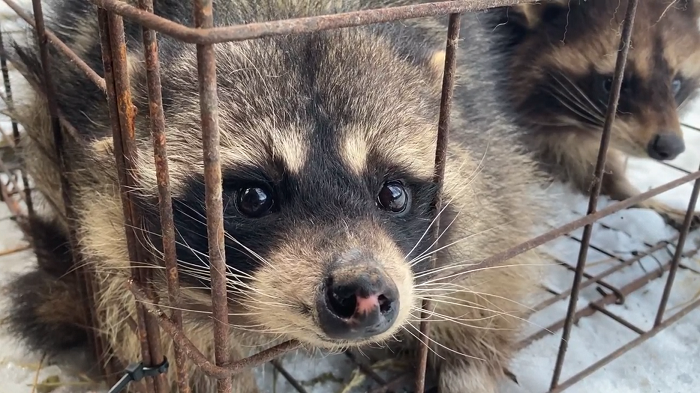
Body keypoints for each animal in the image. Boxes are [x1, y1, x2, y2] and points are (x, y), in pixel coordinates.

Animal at [6, 0, 548, 392]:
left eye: (393, 193)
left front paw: (466, 358)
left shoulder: (487, 141)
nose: (363, 292)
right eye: (252, 198)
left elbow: (493, 258)